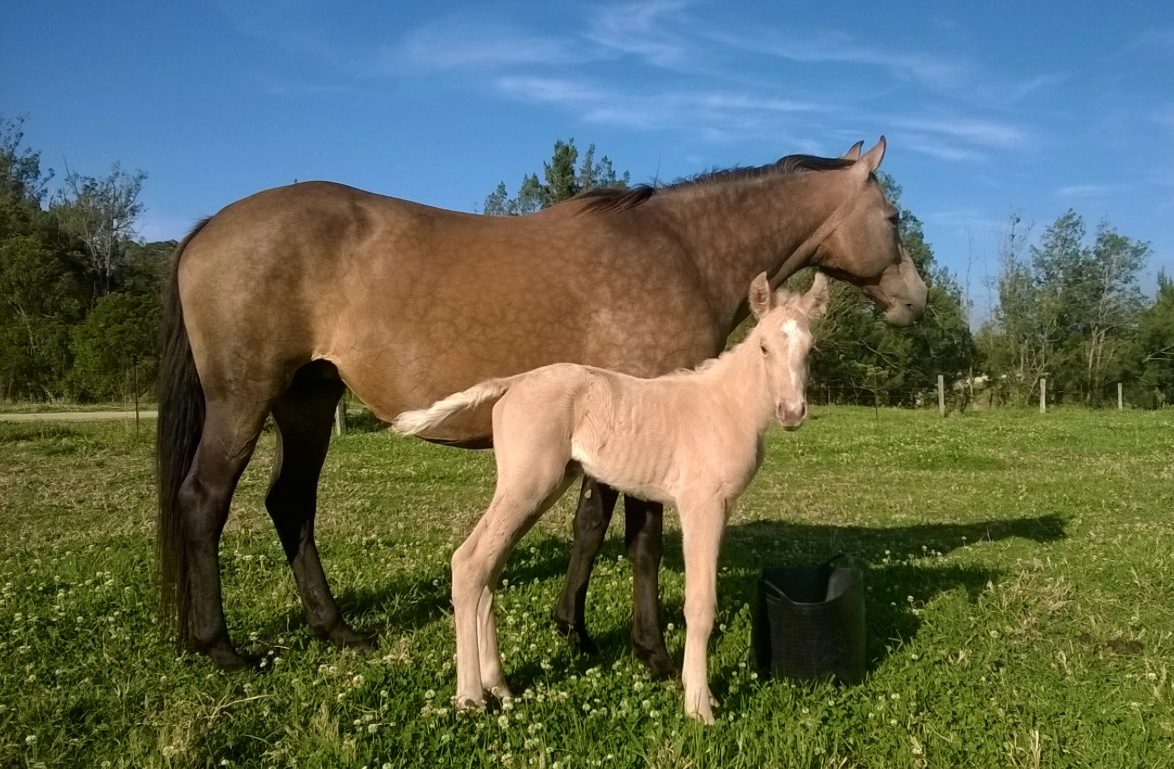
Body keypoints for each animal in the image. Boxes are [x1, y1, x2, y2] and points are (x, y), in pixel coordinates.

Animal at [157, 137, 926, 670]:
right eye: (892, 216)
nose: (917, 299)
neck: (681, 250)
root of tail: (209, 227)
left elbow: (589, 525)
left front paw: (574, 628)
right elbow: (641, 539)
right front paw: (650, 650)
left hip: (308, 402)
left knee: (290, 503)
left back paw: (336, 628)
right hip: (244, 399)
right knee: (204, 501)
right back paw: (218, 644)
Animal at [393, 271, 829, 724]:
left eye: (810, 349)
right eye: (763, 346)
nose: (792, 412)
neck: (726, 405)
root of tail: (510, 384)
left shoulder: (722, 506)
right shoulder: (701, 504)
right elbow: (700, 604)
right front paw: (699, 706)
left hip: (538, 489)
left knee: (489, 568)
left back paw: (499, 686)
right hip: (527, 485)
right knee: (469, 562)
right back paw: (470, 697)